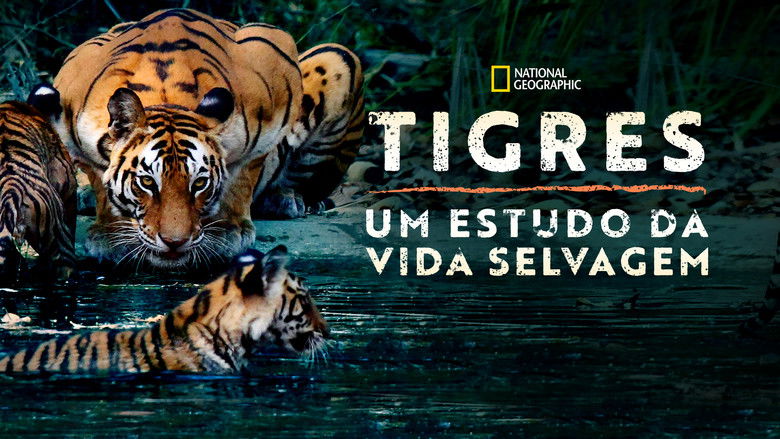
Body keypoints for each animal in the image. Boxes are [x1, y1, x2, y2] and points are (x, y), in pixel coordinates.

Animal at [33, 8, 364, 269]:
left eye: (200, 183)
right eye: (147, 182)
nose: (174, 242)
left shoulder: (274, 67)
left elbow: (245, 171)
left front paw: (229, 230)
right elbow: (99, 175)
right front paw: (110, 234)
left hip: (339, 58)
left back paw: (284, 199)